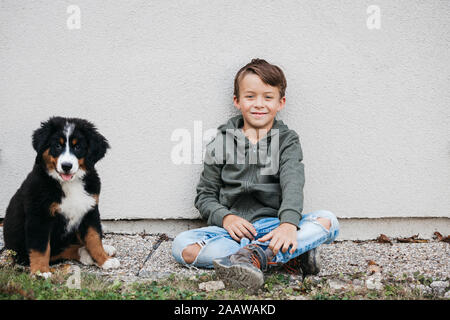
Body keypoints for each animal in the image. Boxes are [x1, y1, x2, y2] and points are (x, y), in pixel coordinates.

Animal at [1, 116, 120, 276]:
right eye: (57, 146)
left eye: (77, 147)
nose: (66, 166)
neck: (70, 183)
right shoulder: (39, 216)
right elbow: (41, 247)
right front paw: (41, 272)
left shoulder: (89, 210)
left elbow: (94, 238)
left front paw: (104, 260)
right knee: (60, 250)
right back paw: (84, 254)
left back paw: (103, 249)